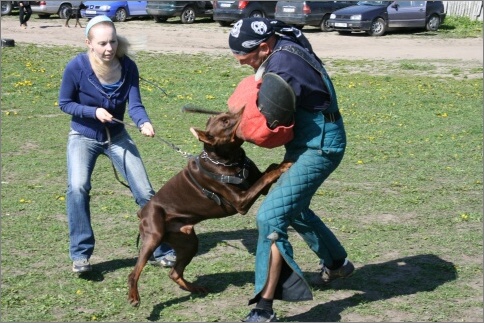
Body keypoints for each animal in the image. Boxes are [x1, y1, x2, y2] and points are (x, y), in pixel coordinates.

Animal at [126, 108, 292, 306]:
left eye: (227, 114)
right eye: (225, 122)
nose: (245, 109)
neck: (228, 160)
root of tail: (141, 211)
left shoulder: (257, 186)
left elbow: (267, 172)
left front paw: (280, 164)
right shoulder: (241, 201)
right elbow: (265, 177)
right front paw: (284, 166)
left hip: (188, 241)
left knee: (174, 273)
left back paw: (195, 288)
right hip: (153, 235)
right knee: (134, 272)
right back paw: (134, 297)